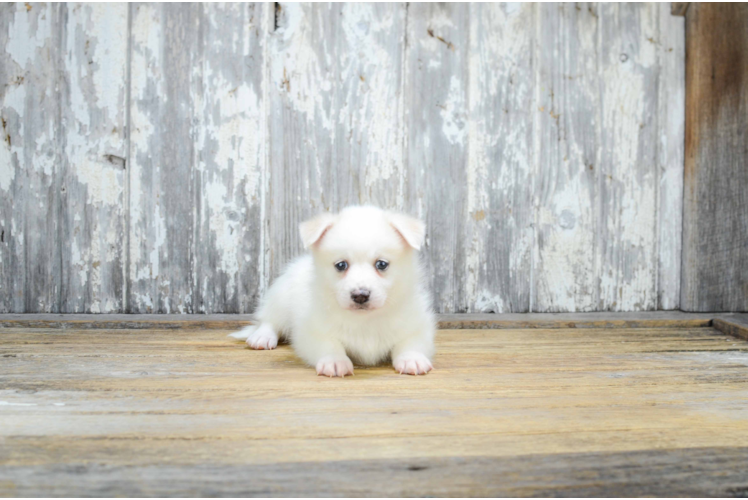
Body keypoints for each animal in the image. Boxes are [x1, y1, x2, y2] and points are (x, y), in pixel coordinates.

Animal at [231, 205, 436, 376]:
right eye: (341, 265)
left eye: (382, 264)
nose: (360, 296)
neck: (365, 320)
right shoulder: (312, 330)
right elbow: (330, 345)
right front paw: (336, 362)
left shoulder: (417, 326)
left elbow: (410, 342)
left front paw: (412, 359)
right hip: (281, 298)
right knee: (269, 321)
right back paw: (262, 337)